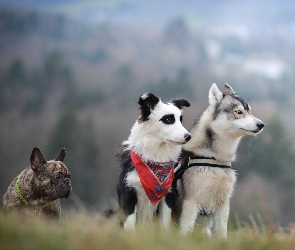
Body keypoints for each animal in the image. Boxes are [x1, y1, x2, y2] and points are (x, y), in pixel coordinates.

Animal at [118, 92, 192, 230]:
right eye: (169, 119)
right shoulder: (128, 193)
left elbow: (165, 223)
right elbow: (130, 224)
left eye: (181, 120)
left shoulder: (167, 196)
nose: (188, 136)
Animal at [173, 83, 266, 238]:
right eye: (239, 111)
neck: (215, 159)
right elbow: (186, 230)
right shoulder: (191, 203)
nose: (261, 124)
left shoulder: (223, 205)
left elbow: (222, 233)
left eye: (250, 111)